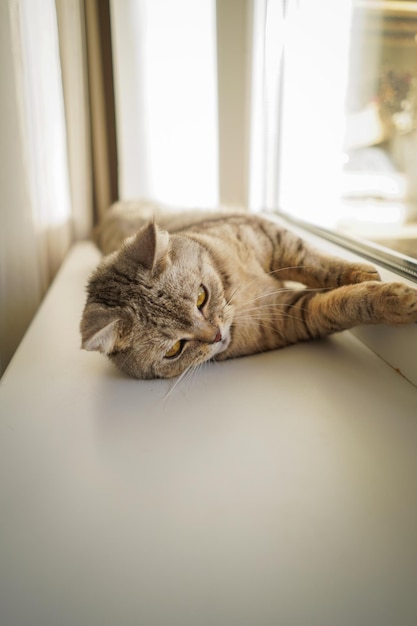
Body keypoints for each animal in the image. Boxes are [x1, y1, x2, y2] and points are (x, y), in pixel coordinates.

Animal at [79, 200, 416, 378]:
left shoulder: (273, 237)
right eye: (174, 349)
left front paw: (358, 271)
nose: (216, 335)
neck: (234, 289)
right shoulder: (294, 314)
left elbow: (316, 262)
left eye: (201, 297)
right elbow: (343, 304)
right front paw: (395, 300)